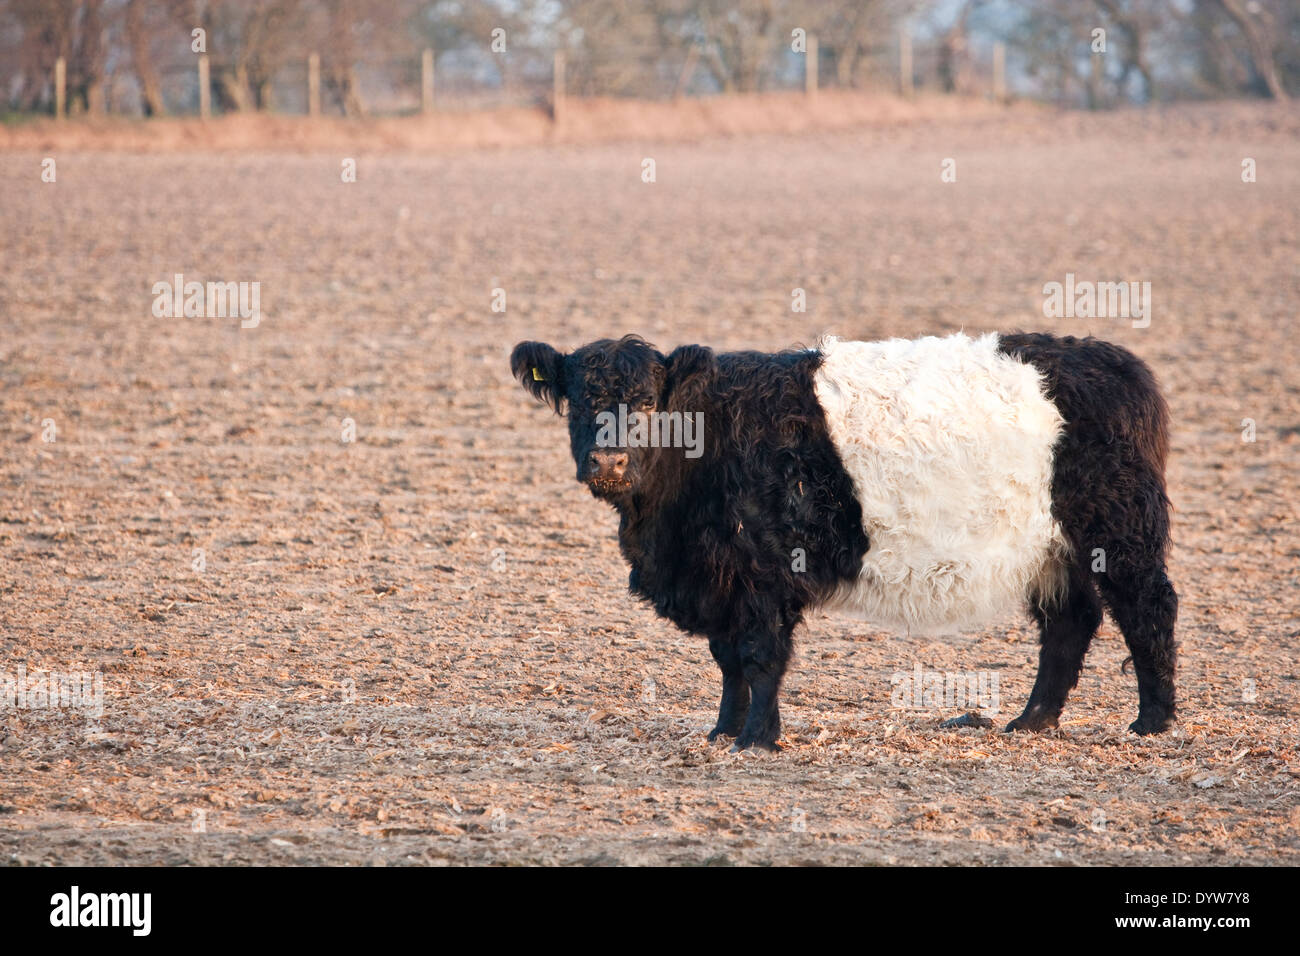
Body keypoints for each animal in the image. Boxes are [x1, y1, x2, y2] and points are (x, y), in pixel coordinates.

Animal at [506, 332, 1180, 749]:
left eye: (647, 402)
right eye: (577, 402)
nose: (609, 462)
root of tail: (1113, 360)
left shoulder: (763, 577)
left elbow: (760, 657)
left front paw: (757, 739)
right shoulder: (721, 580)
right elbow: (727, 661)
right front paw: (722, 732)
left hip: (1118, 534)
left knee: (1148, 608)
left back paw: (1152, 722)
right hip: (1051, 551)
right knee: (1070, 623)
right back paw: (1031, 721)